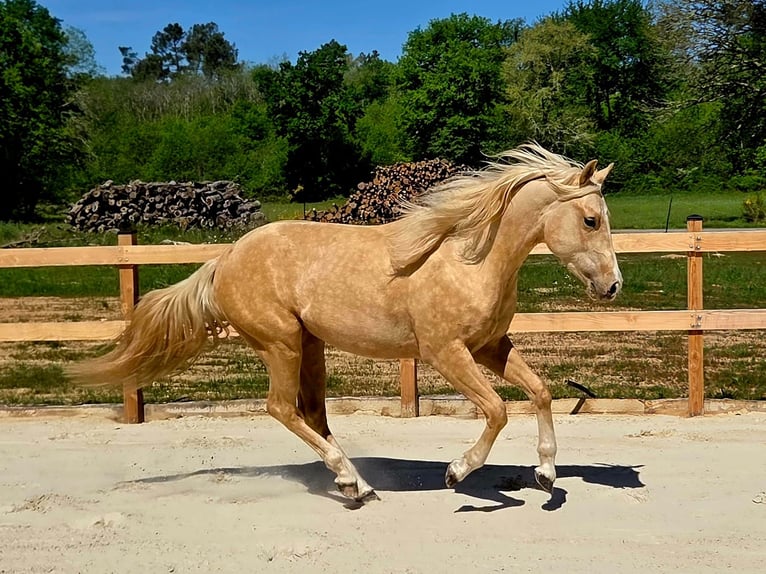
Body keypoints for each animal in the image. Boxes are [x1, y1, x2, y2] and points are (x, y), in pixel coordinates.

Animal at [68, 143, 622, 503]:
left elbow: (541, 392)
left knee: (313, 414)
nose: (613, 287)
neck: (472, 259)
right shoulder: (445, 352)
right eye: (591, 220)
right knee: (281, 409)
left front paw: (546, 475)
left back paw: (358, 484)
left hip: (311, 346)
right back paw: (351, 482)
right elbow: (497, 411)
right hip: (281, 344)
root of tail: (224, 259)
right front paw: (456, 472)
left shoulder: (490, 346)